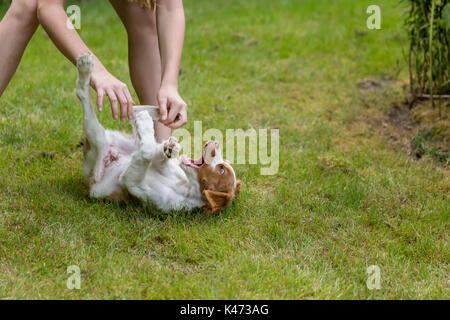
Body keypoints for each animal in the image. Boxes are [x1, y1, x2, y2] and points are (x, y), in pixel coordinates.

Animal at [75, 52, 241, 214]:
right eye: (224, 164)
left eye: (221, 170)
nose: (215, 142)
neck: (185, 185)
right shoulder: (164, 165)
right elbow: (155, 153)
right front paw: (169, 146)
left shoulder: (131, 182)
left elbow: (146, 152)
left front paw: (147, 125)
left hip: (96, 142)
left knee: (83, 95)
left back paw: (85, 68)